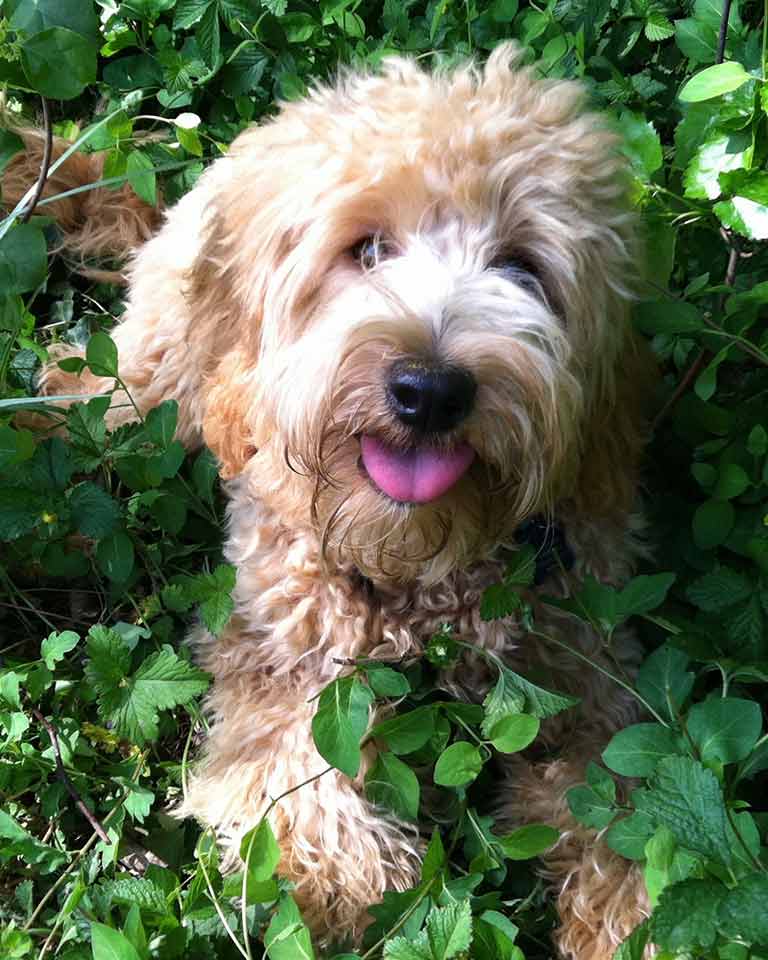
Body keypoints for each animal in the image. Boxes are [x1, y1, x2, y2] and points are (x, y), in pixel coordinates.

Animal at [7, 43, 656, 960]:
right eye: (367, 248)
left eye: (523, 267)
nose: (429, 388)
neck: (419, 564)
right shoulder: (278, 652)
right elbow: (296, 794)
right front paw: (366, 888)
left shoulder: (590, 664)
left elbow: (634, 799)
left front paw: (637, 918)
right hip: (151, 383)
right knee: (82, 402)